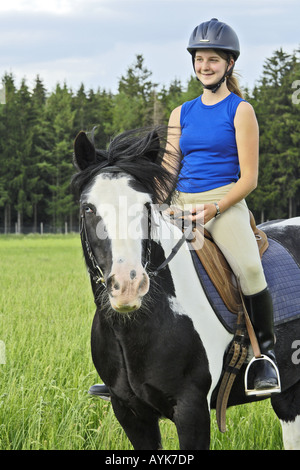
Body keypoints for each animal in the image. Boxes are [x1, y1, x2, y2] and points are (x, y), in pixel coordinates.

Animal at [71, 126, 300, 450]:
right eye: (88, 208)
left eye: (147, 207)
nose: (128, 285)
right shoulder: (129, 413)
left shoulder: (192, 410)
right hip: (290, 392)